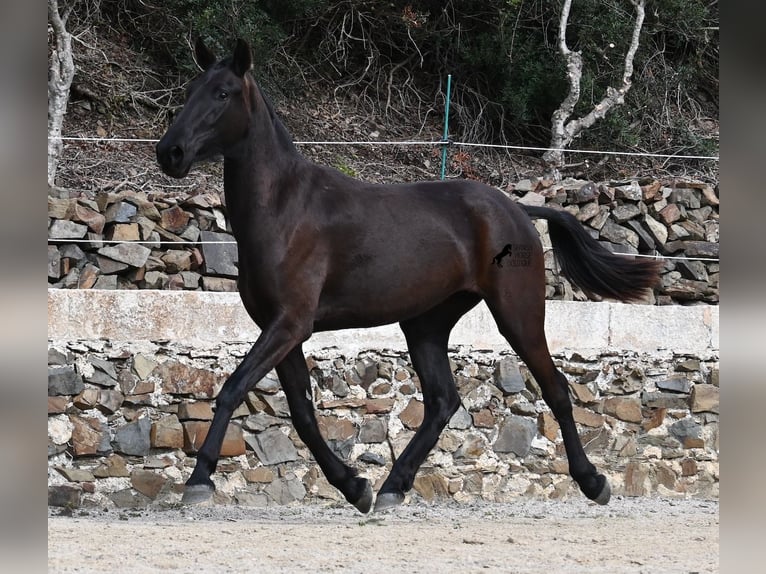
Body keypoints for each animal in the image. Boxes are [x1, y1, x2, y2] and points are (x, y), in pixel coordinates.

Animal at [154, 38, 660, 516]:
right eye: (190, 90)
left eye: (222, 92)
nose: (169, 152)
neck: (283, 209)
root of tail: (517, 210)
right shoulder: (282, 329)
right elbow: (302, 414)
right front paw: (354, 487)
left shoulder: (290, 323)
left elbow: (233, 388)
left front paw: (199, 480)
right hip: (426, 323)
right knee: (442, 402)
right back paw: (392, 487)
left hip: (518, 312)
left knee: (554, 388)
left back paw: (594, 483)